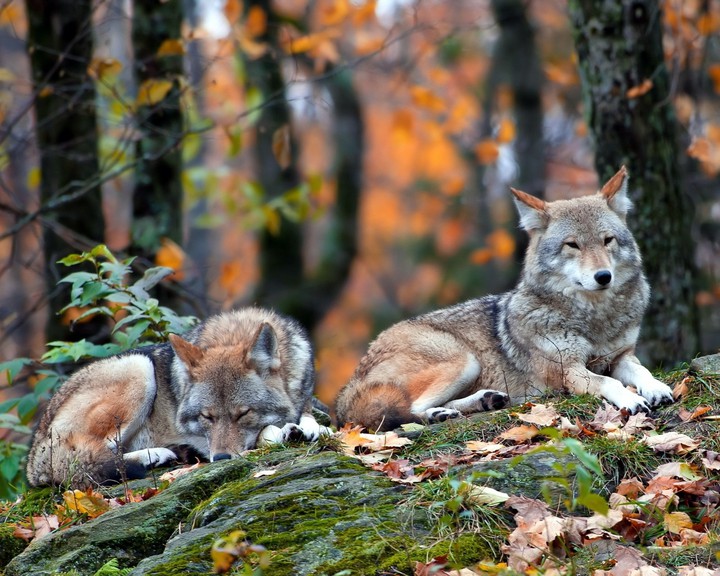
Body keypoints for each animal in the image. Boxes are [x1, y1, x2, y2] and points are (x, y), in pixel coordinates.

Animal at [27, 307, 327, 486]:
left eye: (243, 413)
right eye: (207, 417)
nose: (221, 459)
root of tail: (34, 456)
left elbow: (310, 416)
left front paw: (309, 427)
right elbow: (267, 432)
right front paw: (284, 431)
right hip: (138, 370)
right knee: (89, 460)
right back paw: (155, 455)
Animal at [334, 166, 674, 431]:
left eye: (607, 241)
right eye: (572, 245)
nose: (604, 276)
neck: (593, 319)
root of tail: (348, 386)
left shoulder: (620, 356)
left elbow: (642, 371)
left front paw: (657, 389)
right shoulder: (568, 371)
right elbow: (610, 383)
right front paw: (632, 398)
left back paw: (485, 400)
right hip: (462, 359)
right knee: (407, 411)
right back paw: (438, 414)